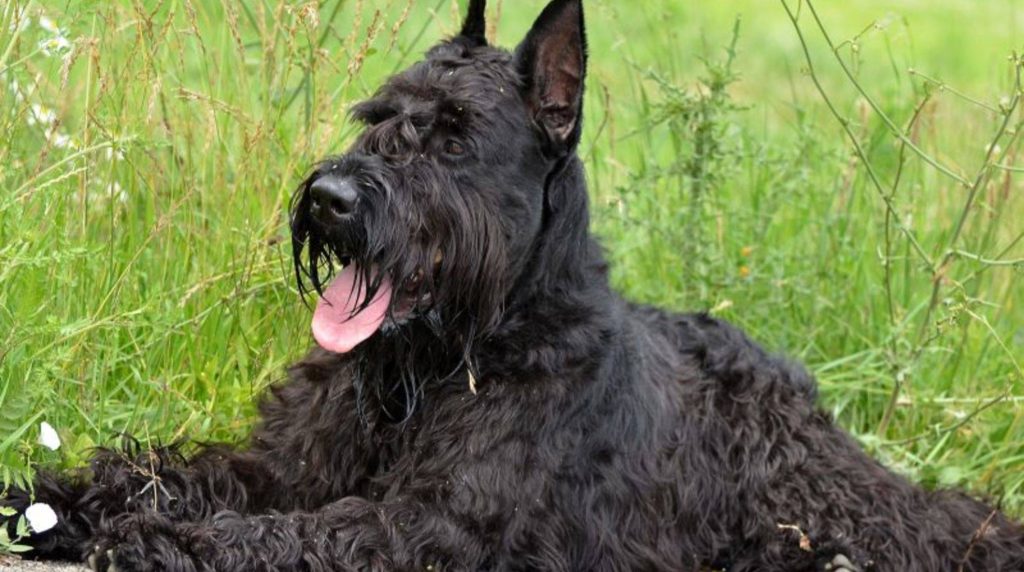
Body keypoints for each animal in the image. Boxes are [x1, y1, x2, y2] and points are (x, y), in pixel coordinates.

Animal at [2, 2, 1024, 568]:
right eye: (378, 117)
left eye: (454, 137)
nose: (329, 199)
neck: (438, 366)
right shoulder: (287, 466)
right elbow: (177, 471)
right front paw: (59, 498)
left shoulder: (434, 526)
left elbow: (298, 534)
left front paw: (167, 542)